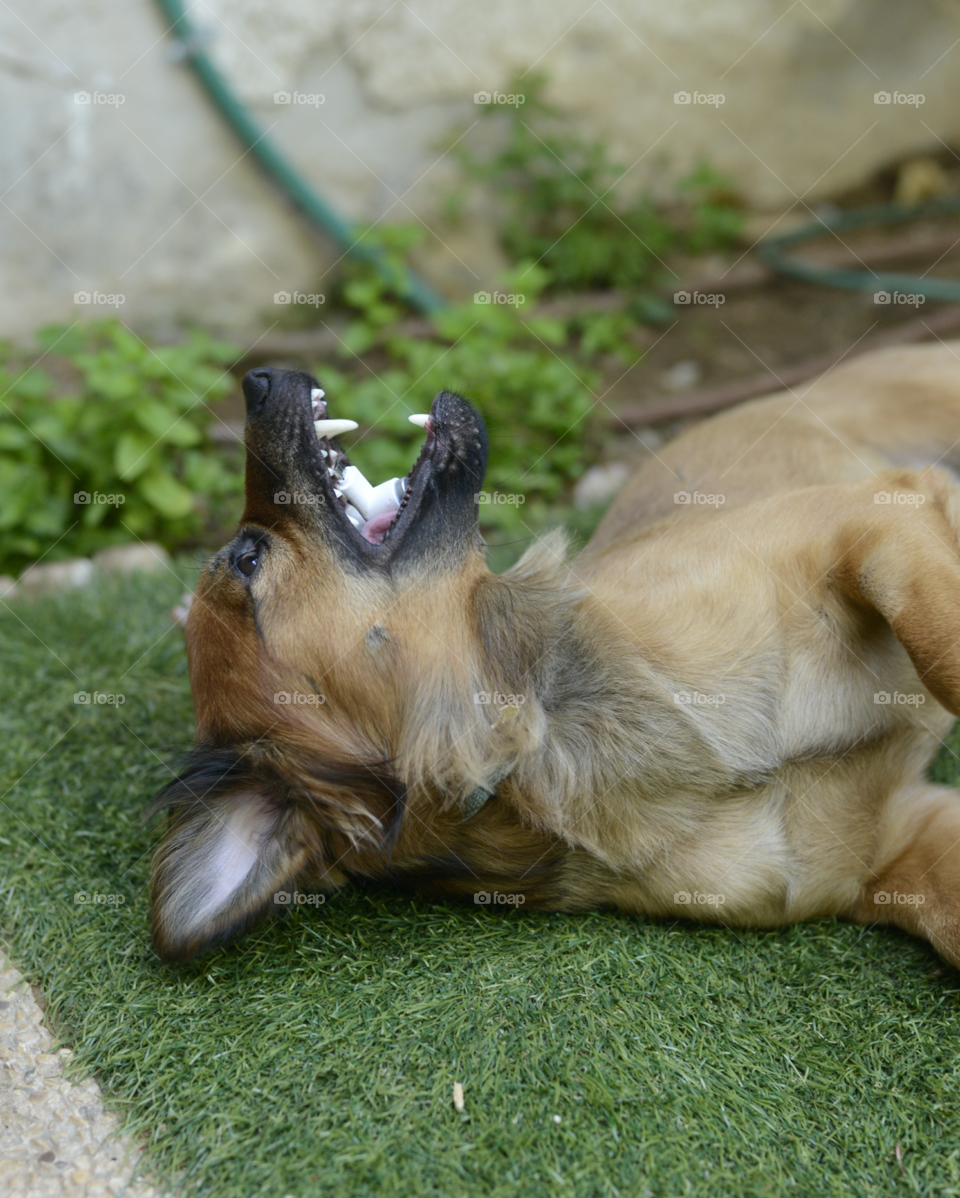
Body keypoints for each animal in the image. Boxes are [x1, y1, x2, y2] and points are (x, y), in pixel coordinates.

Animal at [149, 342, 960, 967]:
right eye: (249, 558)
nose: (255, 378)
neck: (547, 725)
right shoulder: (900, 839)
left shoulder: (864, 523)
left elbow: (939, 642)